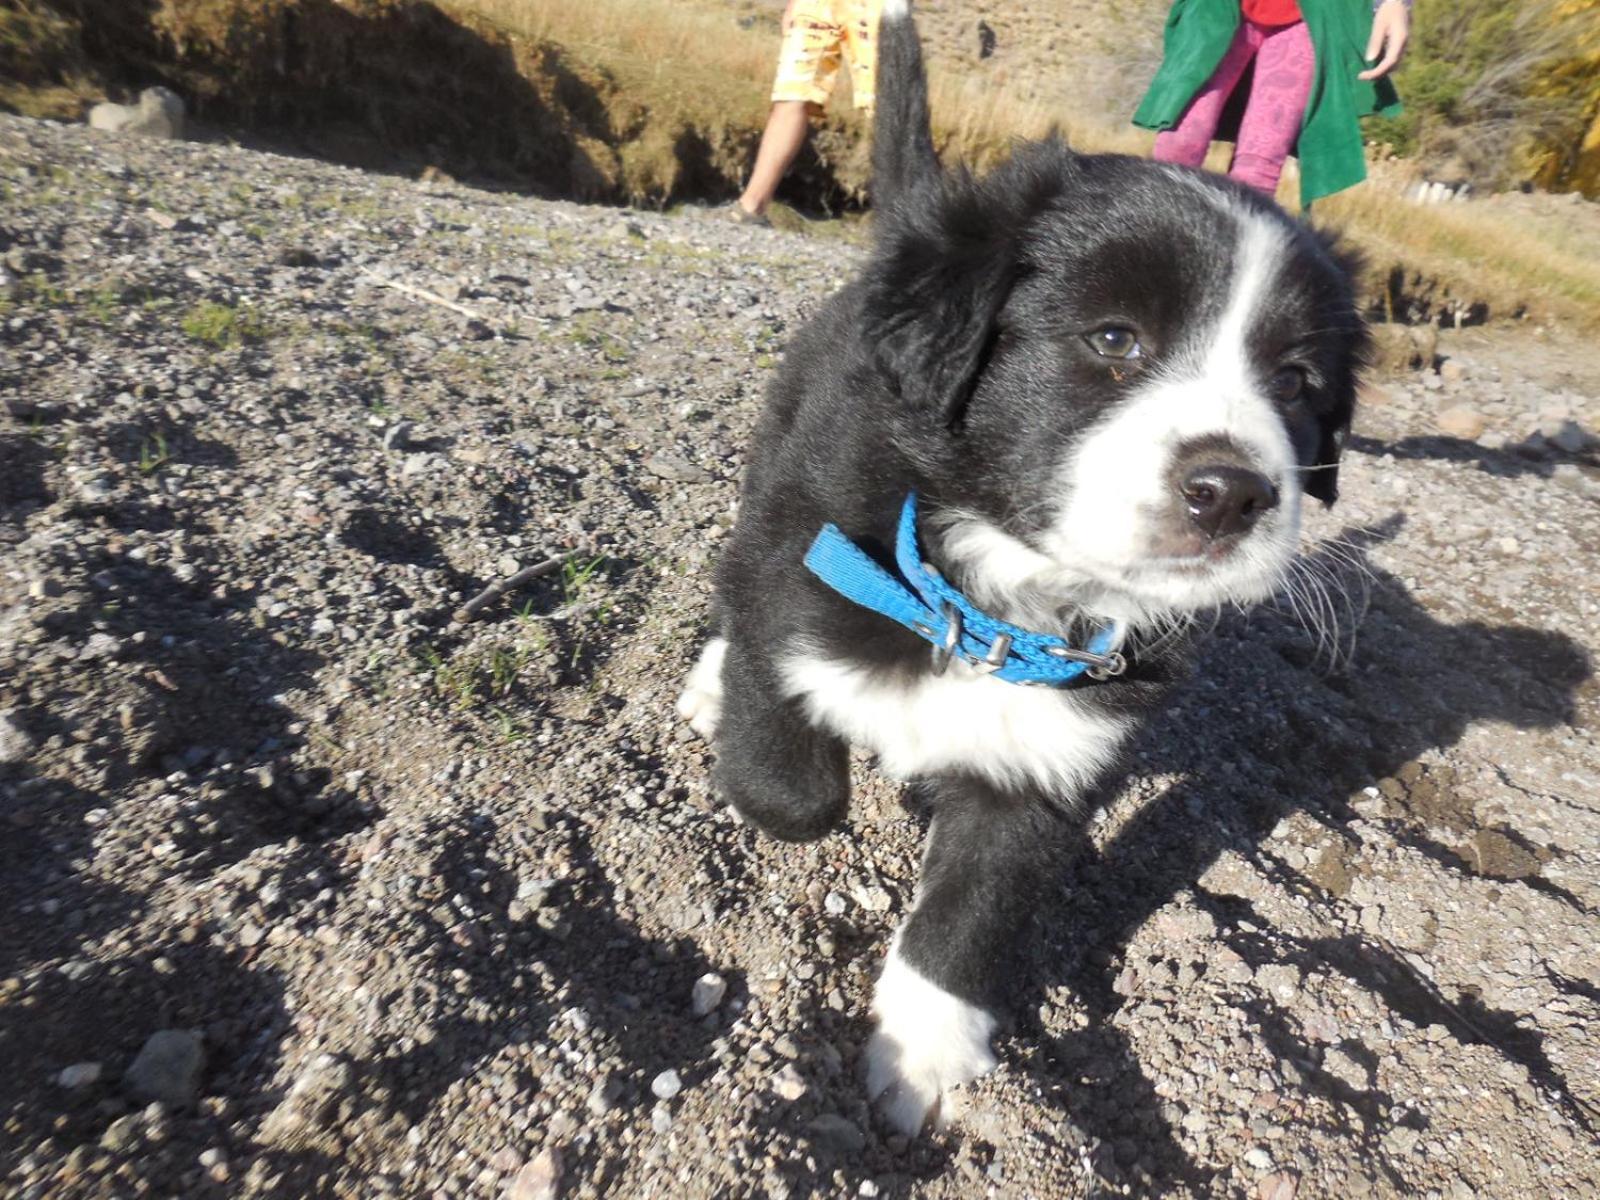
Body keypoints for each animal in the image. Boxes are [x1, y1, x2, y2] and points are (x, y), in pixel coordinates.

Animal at [675, 0, 1363, 1139]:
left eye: (1299, 382)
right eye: (1115, 339)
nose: (1232, 492)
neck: (999, 600)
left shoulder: (1050, 749)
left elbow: (975, 904)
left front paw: (919, 1055)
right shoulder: (800, 545)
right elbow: (789, 776)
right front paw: (776, 741)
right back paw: (704, 682)